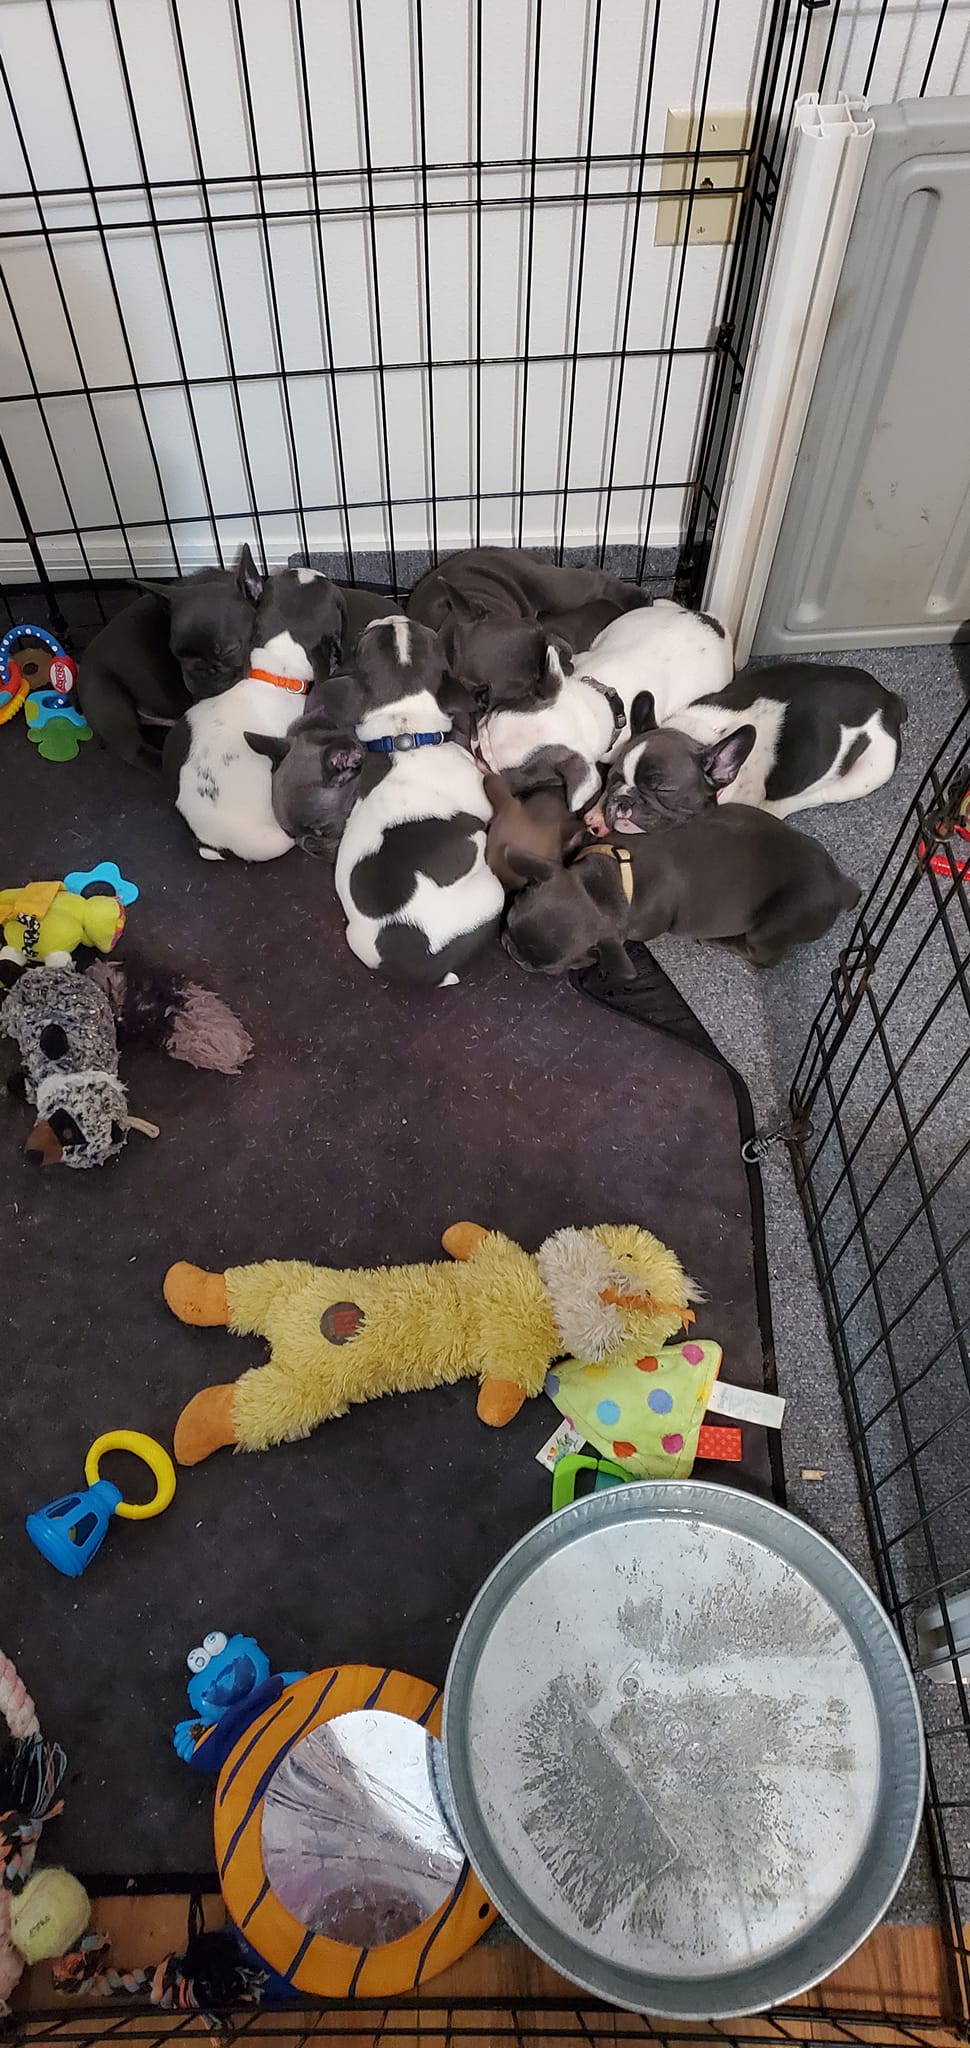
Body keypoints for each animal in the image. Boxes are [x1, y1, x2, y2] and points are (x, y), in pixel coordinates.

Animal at [503, 807, 860, 978]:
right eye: (509, 919)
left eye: (549, 970)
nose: (511, 950)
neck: (603, 885)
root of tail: (839, 884)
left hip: (775, 925)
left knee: (762, 957)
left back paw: (721, 941)